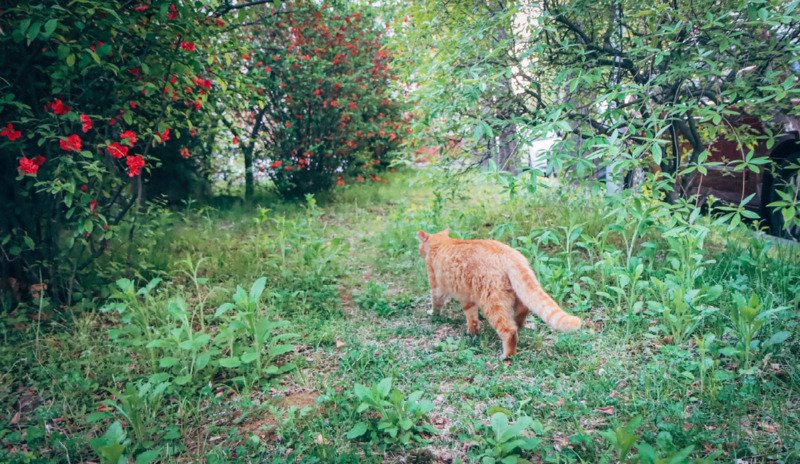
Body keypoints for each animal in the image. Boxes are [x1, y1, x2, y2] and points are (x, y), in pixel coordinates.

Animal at [416, 228, 580, 358]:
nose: (420, 252)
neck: (443, 243)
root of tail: (510, 255)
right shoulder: (467, 296)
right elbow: (471, 317)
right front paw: (472, 332)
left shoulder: (437, 286)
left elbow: (436, 303)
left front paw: (433, 314)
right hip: (516, 296)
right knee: (522, 312)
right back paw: (519, 325)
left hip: (493, 302)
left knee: (509, 331)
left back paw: (507, 355)